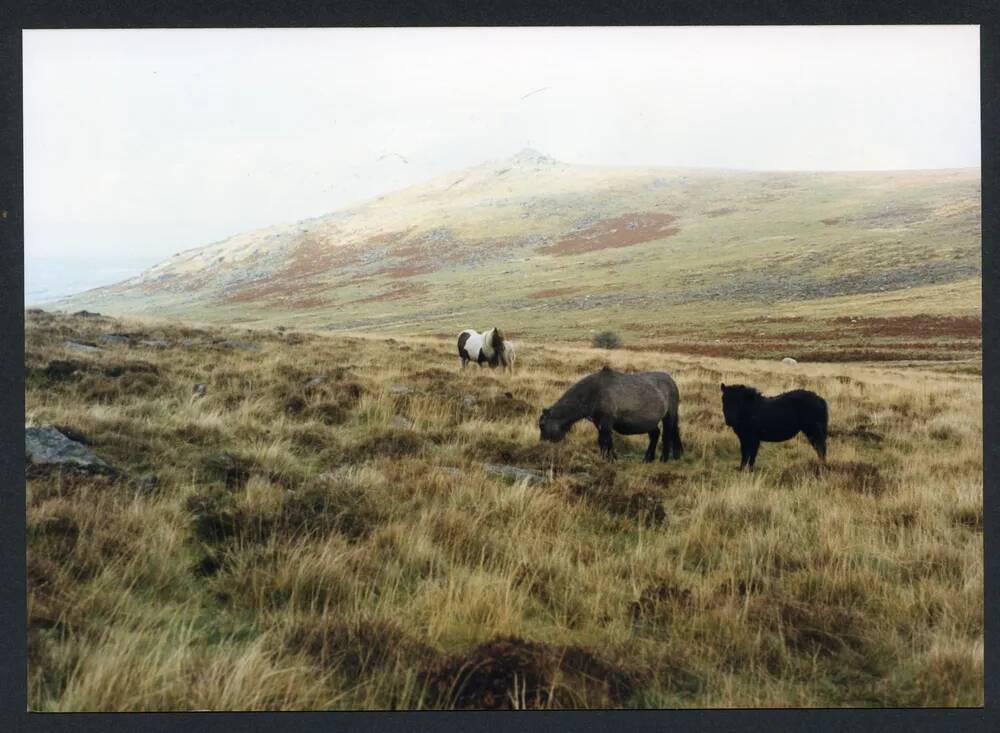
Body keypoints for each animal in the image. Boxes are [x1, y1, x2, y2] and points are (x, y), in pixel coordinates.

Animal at [536, 366, 684, 464]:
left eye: (542, 425)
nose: (542, 444)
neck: (593, 392)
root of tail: (671, 381)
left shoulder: (606, 423)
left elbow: (605, 440)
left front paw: (610, 459)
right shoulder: (599, 423)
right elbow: (604, 441)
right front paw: (607, 457)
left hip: (669, 416)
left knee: (667, 435)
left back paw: (663, 459)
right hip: (649, 422)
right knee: (655, 435)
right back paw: (648, 458)